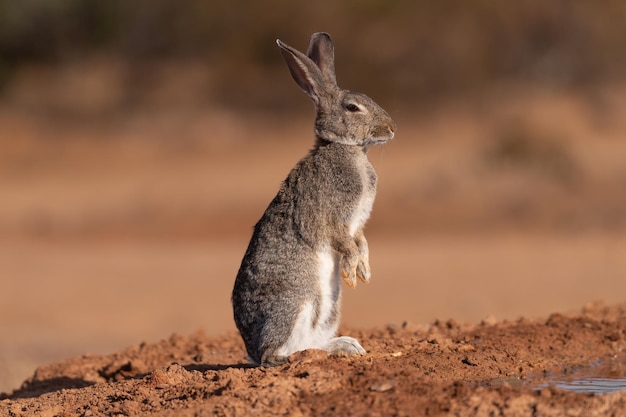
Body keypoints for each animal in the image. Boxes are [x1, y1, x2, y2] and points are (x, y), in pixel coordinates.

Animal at [229, 31, 394, 364]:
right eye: (353, 107)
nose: (391, 128)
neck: (346, 149)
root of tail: (250, 349)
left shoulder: (357, 224)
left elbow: (361, 242)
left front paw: (364, 273)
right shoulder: (333, 220)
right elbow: (344, 242)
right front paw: (352, 272)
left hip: (328, 311)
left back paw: (346, 346)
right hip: (297, 302)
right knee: (276, 353)